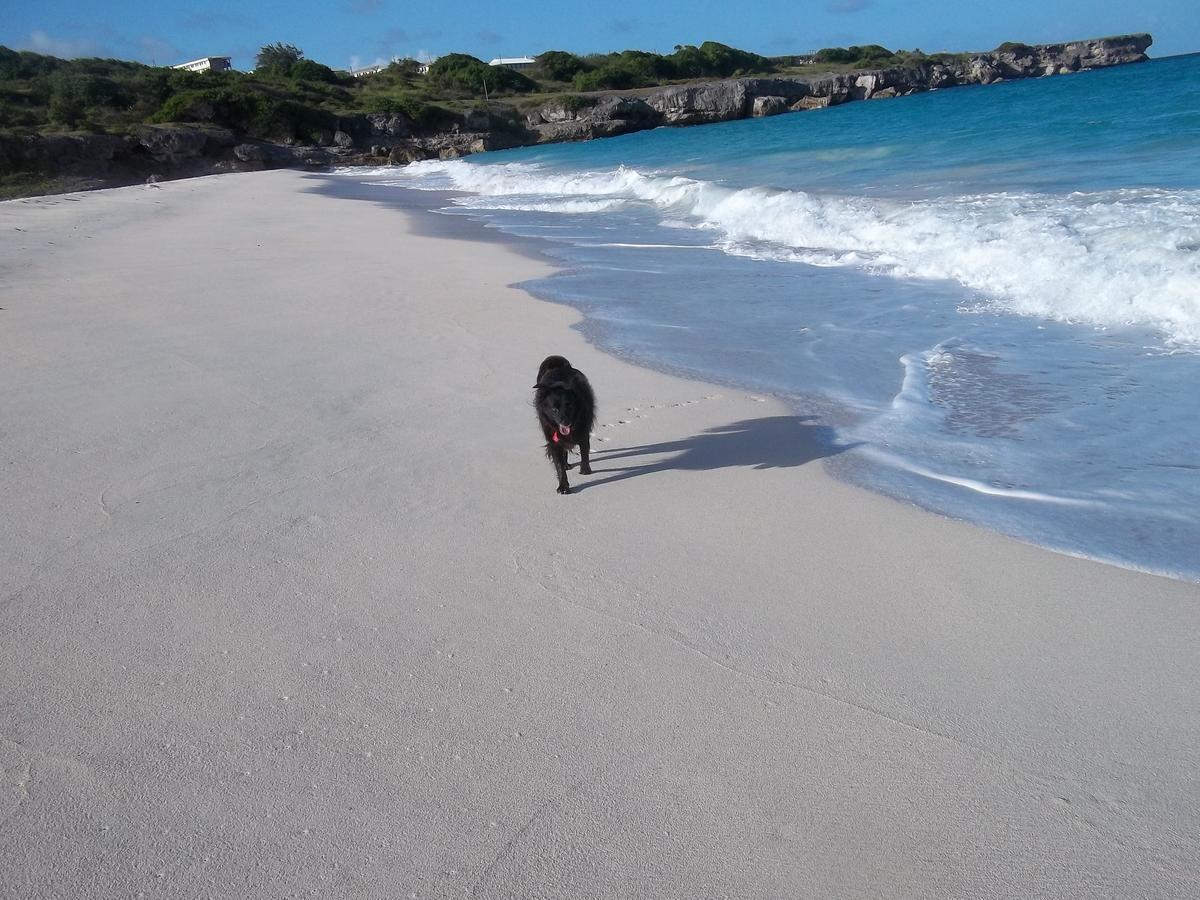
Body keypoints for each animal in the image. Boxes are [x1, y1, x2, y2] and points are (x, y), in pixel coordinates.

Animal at [535, 355, 595, 494]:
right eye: (554, 410)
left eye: (570, 406)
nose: (565, 422)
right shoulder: (553, 440)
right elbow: (559, 465)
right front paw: (563, 486)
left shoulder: (584, 431)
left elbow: (584, 451)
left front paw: (585, 470)